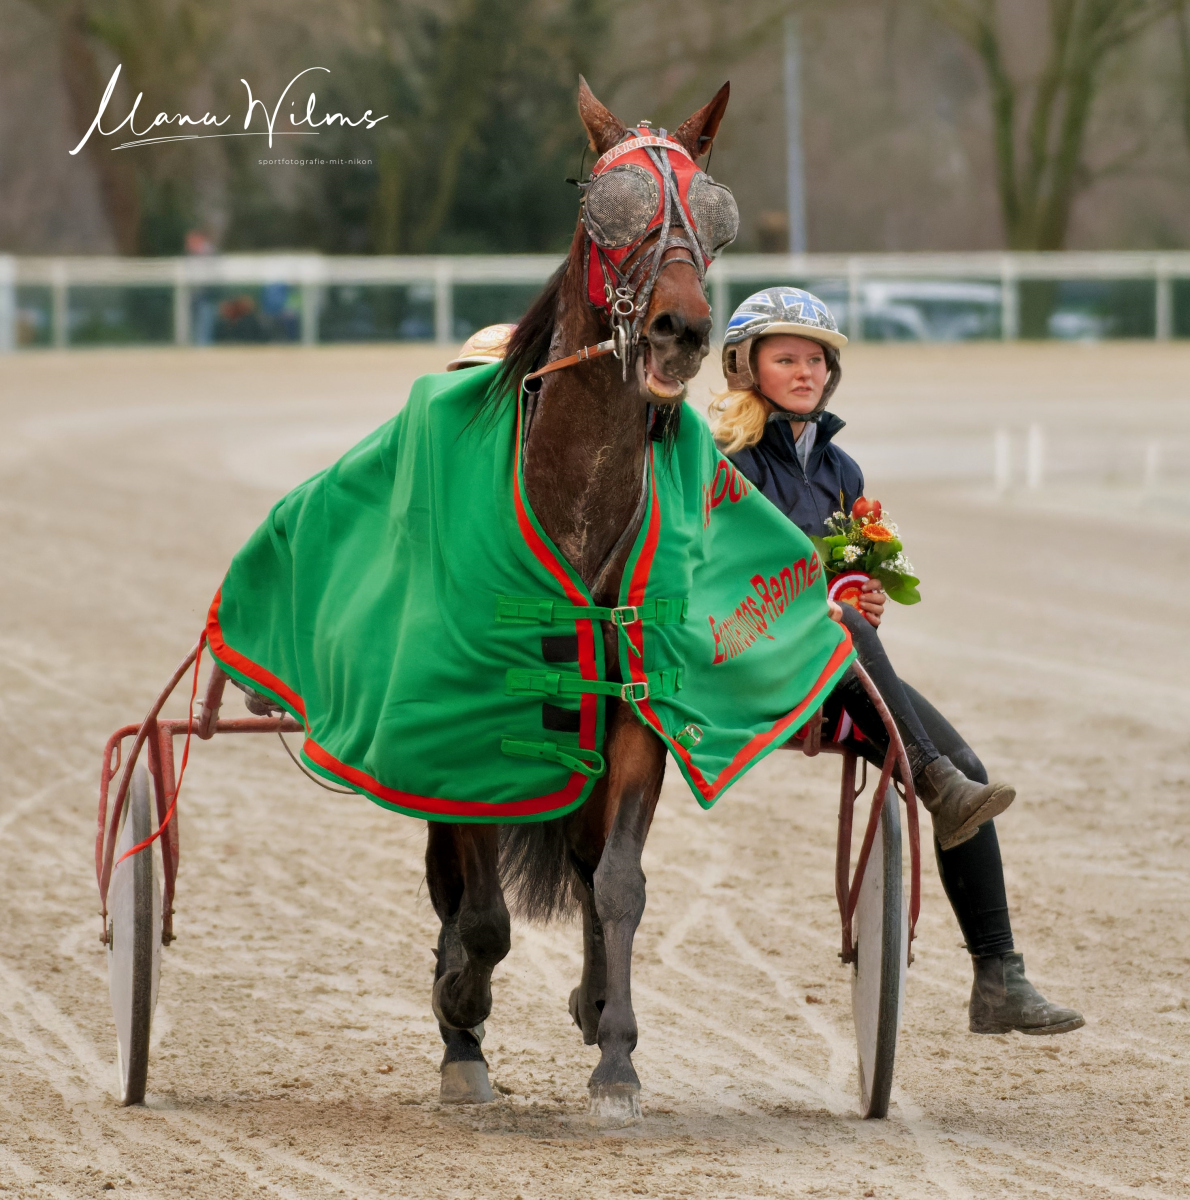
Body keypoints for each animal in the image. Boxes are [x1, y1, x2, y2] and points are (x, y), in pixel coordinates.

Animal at [427, 77, 732, 1124]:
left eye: (712, 213)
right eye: (613, 207)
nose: (682, 327)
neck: (575, 507)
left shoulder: (632, 718)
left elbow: (619, 883)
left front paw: (616, 1055)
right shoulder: (477, 718)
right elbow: (481, 914)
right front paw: (461, 1015)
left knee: (589, 860)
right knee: (452, 881)